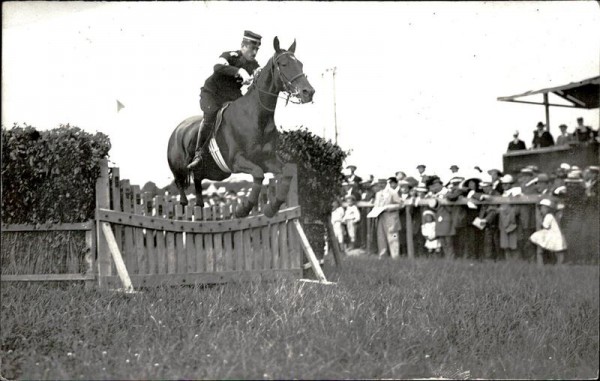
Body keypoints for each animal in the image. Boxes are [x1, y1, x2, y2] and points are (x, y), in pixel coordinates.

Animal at [166, 37, 316, 218]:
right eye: (284, 64)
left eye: (300, 64)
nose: (309, 92)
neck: (256, 117)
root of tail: (176, 130)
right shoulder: (237, 161)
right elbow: (258, 175)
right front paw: (243, 209)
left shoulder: (267, 159)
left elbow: (286, 173)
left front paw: (271, 207)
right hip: (179, 171)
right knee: (181, 192)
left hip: (198, 174)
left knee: (198, 188)